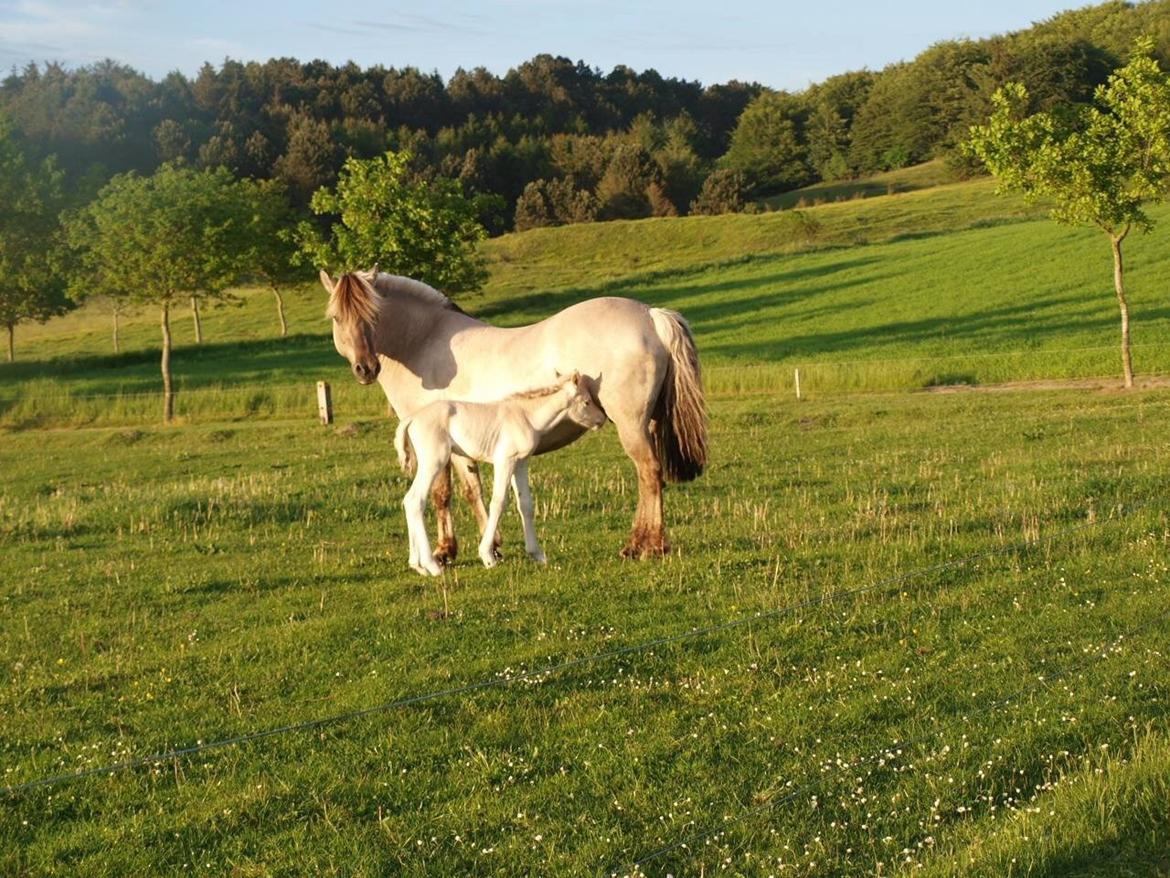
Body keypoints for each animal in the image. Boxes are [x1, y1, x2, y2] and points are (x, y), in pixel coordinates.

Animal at [395, 372, 608, 578]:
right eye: (587, 402)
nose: (601, 419)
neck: (526, 416)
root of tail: (411, 419)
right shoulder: (504, 461)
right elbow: (498, 502)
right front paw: (488, 556)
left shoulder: (520, 463)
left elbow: (525, 504)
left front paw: (537, 554)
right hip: (434, 462)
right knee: (416, 500)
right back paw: (432, 566)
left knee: (409, 500)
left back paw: (418, 566)